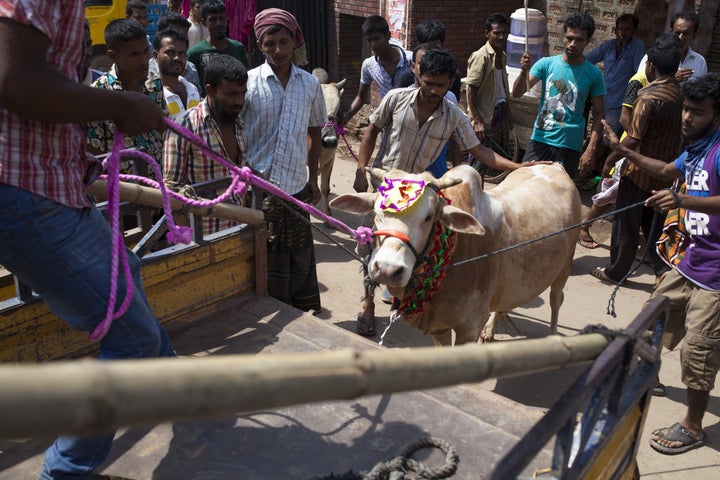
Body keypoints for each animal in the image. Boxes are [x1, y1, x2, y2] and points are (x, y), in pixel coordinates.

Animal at [330, 164, 580, 344]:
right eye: (377, 211)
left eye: (429, 217)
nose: (387, 269)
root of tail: (556, 166)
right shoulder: (439, 329)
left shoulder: (468, 329)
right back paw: (490, 330)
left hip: (565, 266)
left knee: (556, 300)